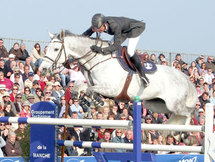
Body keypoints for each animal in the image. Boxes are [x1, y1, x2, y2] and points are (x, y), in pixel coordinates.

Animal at [39, 29, 197, 124]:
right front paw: (83, 99)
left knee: (188, 113)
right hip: (155, 104)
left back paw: (184, 132)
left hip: (174, 104)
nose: (42, 69)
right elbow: (80, 87)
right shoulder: (94, 84)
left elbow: (90, 90)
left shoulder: (112, 89)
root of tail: (186, 79)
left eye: (56, 49)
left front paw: (97, 101)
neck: (97, 60)